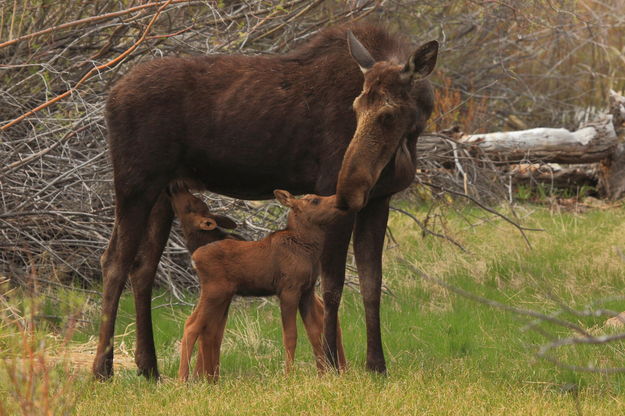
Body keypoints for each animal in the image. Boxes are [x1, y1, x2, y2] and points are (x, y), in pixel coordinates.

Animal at [169, 185, 346, 380]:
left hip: (219, 293)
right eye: (314, 200)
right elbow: (290, 336)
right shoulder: (288, 290)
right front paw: (288, 375)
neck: (308, 248)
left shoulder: (306, 291)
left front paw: (322, 375)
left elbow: (313, 332)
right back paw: (182, 379)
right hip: (215, 291)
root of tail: (195, 257)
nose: (339, 199)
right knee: (192, 325)